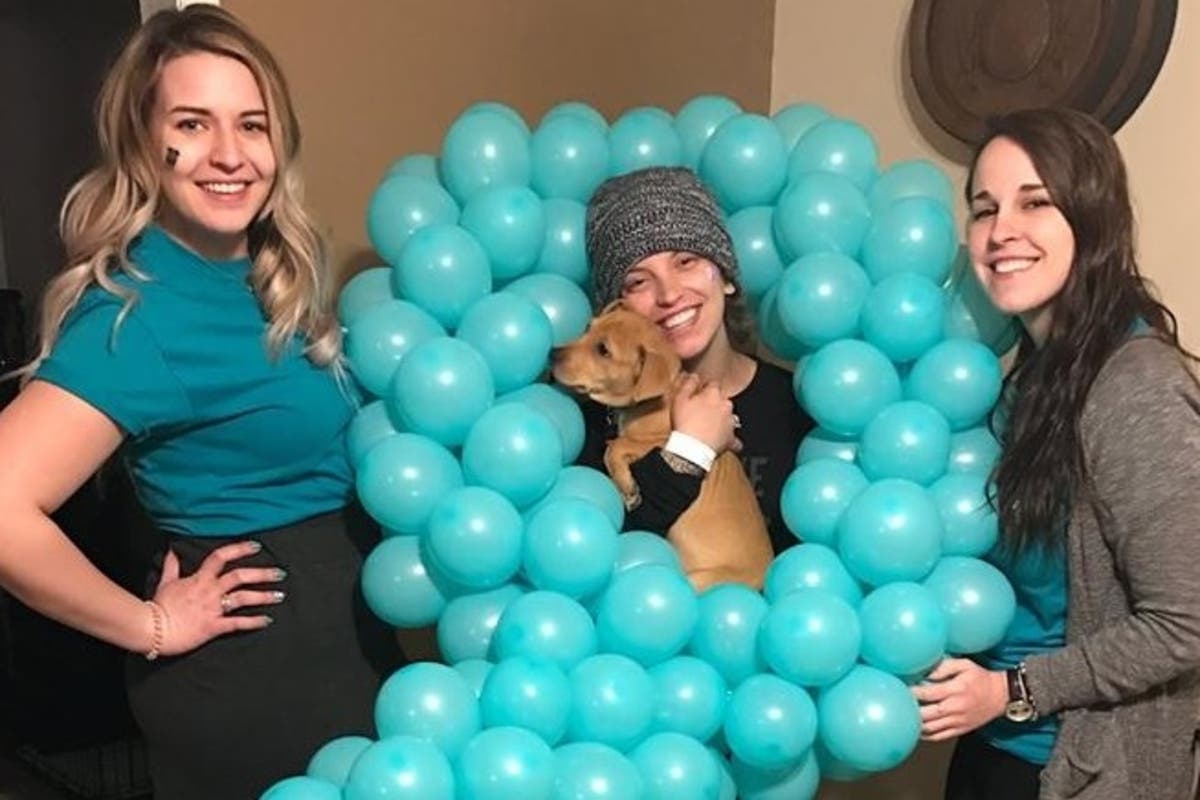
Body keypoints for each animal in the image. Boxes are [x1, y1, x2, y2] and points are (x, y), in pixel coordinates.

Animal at [552, 301, 773, 591]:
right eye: (588, 327)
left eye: (603, 350)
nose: (551, 354)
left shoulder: (658, 439)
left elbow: (617, 446)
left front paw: (628, 489)